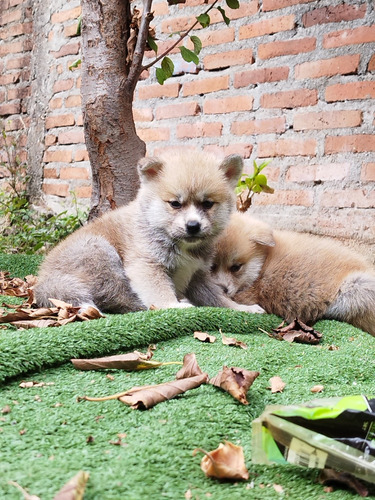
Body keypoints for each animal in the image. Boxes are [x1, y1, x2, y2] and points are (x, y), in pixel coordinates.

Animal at [35, 148, 264, 314]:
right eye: (175, 204)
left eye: (207, 204)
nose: (193, 226)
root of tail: (44, 281)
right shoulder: (147, 265)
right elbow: (159, 292)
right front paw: (172, 306)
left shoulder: (198, 275)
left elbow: (218, 298)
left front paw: (242, 309)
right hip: (100, 252)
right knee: (117, 297)